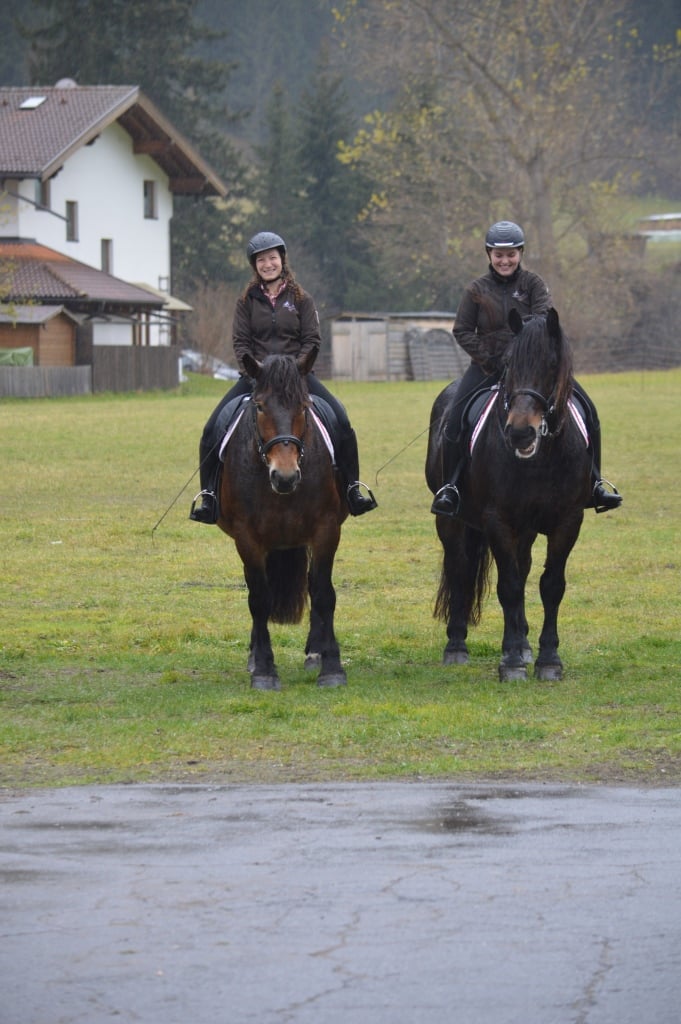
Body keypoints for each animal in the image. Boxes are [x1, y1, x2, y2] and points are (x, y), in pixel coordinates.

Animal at [217, 350, 348, 690]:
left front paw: (331, 667)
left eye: (303, 407)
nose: (285, 476)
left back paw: (315, 653)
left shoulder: (326, 530)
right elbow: (259, 599)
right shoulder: (247, 538)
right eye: (260, 406)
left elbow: (323, 594)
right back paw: (254, 658)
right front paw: (264, 670)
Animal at [425, 308, 592, 682]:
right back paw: (457, 645)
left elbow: (550, 585)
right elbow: (510, 586)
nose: (519, 431)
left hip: (526, 529)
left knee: (523, 566)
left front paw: (547, 659)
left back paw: (524, 643)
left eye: (551, 365)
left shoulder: (568, 521)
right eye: (509, 365)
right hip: (452, 522)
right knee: (459, 568)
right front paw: (512, 661)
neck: (541, 459)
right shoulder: (497, 520)